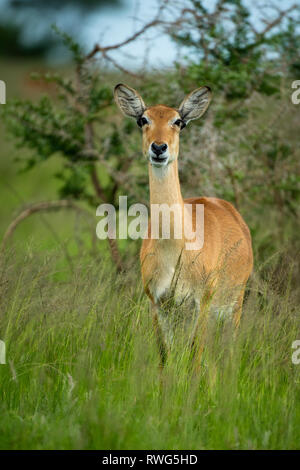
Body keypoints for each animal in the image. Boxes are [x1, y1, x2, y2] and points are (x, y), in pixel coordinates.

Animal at [114, 84, 253, 370]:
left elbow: (194, 359)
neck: (175, 248)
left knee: (227, 353)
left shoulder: (201, 304)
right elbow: (164, 358)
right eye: (143, 119)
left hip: (233, 306)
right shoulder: (158, 304)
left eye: (178, 121)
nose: (159, 147)